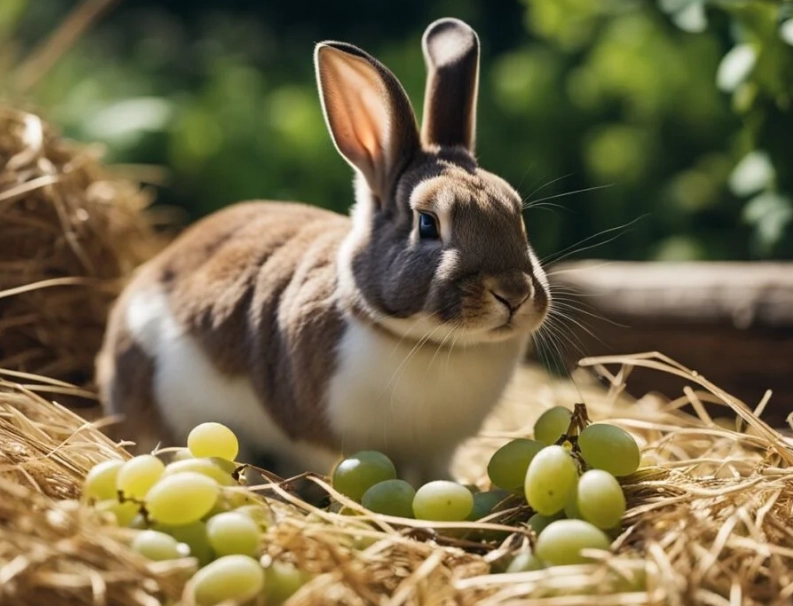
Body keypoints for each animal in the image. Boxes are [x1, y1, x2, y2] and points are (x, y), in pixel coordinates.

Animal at [95, 17, 551, 489]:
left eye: (516, 211)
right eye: (428, 223)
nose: (513, 293)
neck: (429, 341)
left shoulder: (436, 451)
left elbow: (435, 473)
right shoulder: (316, 437)